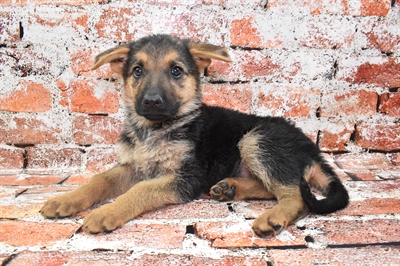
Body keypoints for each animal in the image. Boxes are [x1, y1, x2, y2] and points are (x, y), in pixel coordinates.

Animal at [39, 34, 348, 238]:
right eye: (137, 71)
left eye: (176, 71)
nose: (152, 101)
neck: (156, 128)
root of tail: (312, 149)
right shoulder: (132, 166)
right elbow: (99, 179)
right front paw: (65, 200)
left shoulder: (187, 177)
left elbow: (141, 190)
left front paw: (106, 212)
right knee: (275, 187)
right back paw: (230, 188)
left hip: (256, 139)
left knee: (295, 195)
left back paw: (272, 217)